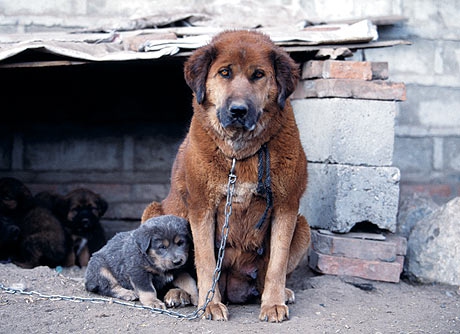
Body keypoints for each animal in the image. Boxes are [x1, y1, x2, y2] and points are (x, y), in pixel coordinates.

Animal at [142, 30, 310, 322]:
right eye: (224, 73)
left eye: (258, 75)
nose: (238, 111)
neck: (239, 152)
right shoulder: (202, 208)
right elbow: (206, 262)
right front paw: (209, 305)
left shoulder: (287, 207)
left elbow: (277, 264)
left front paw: (273, 303)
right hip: (152, 212)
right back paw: (180, 294)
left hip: (303, 226)